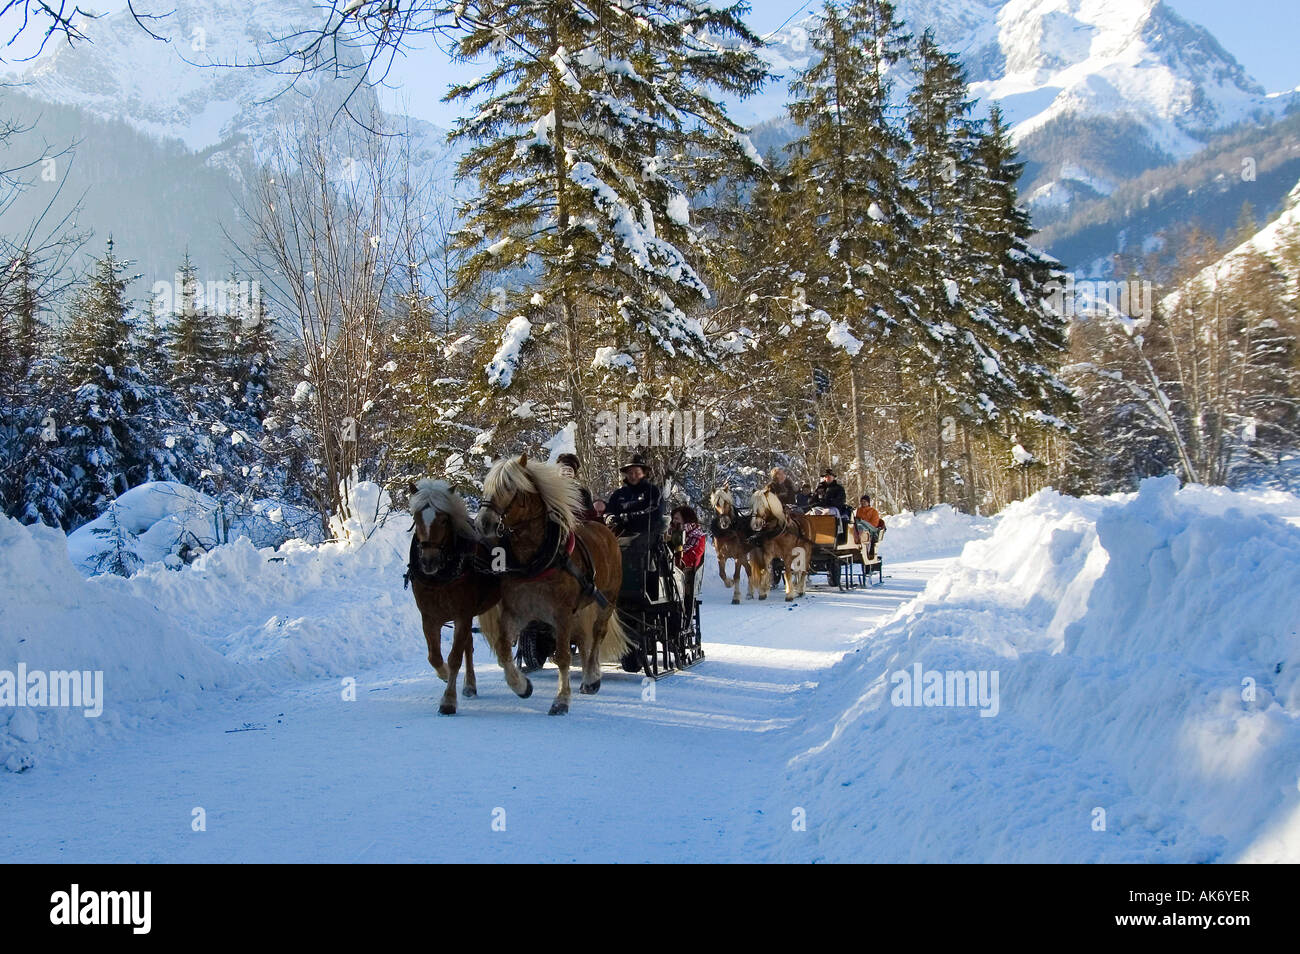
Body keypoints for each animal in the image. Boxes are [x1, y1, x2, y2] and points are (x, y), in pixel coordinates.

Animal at [408, 480, 525, 712]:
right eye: (416, 518)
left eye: (444, 520)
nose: (428, 561)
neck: (442, 576)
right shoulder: (430, 617)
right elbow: (435, 656)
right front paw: (444, 674)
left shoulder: (462, 615)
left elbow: (454, 657)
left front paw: (448, 700)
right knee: (469, 647)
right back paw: (470, 685)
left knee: (499, 641)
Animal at [478, 454, 629, 717]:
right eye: (487, 485)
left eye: (509, 487)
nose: (484, 523)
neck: (535, 562)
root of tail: (605, 529)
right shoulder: (515, 613)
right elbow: (504, 651)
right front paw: (522, 686)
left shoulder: (561, 614)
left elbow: (563, 657)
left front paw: (561, 700)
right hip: (581, 610)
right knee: (584, 640)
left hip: (607, 600)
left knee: (597, 636)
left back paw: (591, 679)